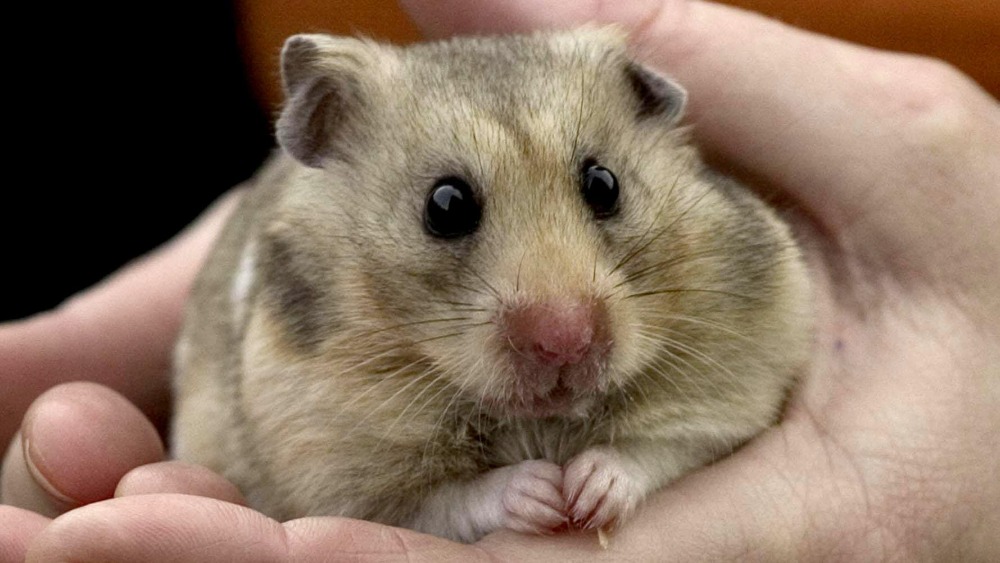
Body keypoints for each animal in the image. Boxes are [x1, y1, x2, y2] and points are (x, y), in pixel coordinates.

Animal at [171, 27, 811, 543]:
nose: (565, 341)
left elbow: (661, 449)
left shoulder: (737, 387)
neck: (541, 420)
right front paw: (541, 494)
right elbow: (448, 499)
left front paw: (588, 493)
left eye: (604, 183)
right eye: (445, 206)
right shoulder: (334, 471)